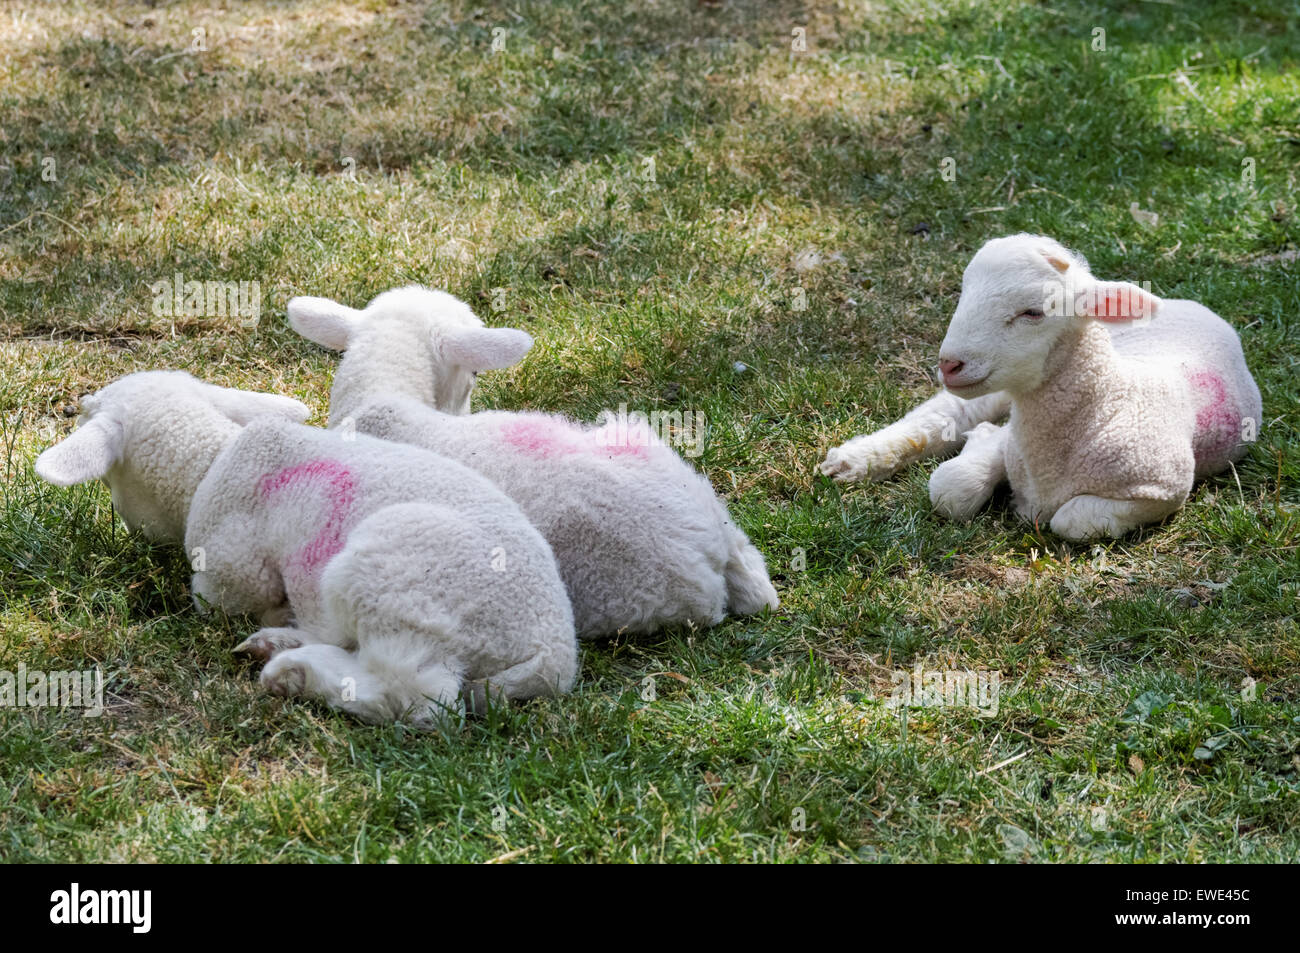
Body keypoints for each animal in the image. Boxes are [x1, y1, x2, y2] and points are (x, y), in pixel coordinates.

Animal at [32, 369, 574, 722]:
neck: (208, 461)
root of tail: (554, 655)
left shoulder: (230, 571)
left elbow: (214, 602)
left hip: (393, 579)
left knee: (414, 698)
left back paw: (293, 670)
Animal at [821, 234, 1258, 538]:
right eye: (963, 294)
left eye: (1033, 312)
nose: (949, 363)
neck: (1109, 400)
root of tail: (1190, 305)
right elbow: (951, 489)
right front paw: (981, 446)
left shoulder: (1162, 490)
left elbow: (1071, 521)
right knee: (945, 414)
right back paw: (854, 461)